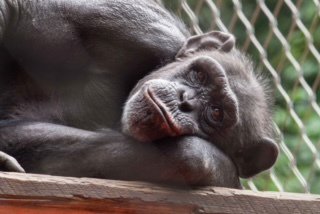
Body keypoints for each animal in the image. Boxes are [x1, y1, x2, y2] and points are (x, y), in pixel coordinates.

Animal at [0, 0, 276, 187]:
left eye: (216, 113)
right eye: (200, 76)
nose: (185, 100)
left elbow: (194, 156)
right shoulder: (139, 25)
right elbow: (28, 8)